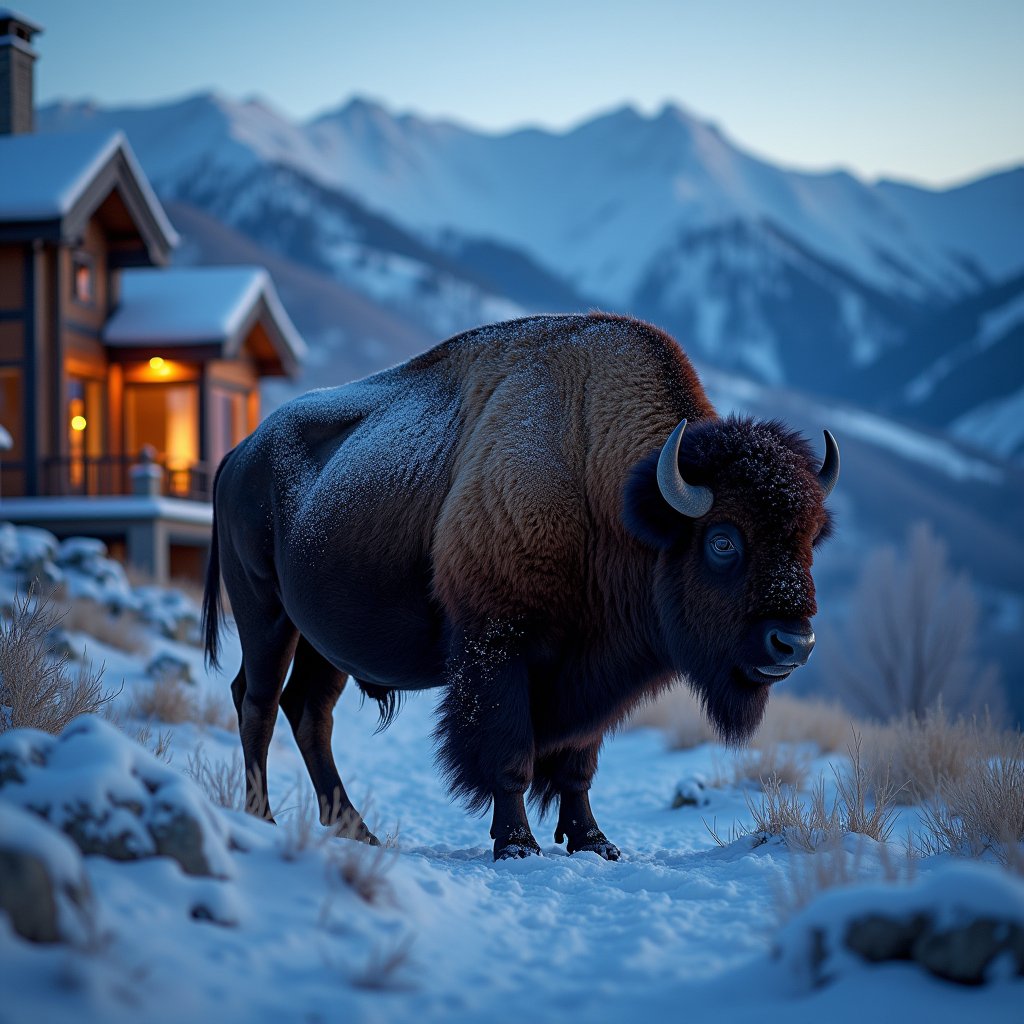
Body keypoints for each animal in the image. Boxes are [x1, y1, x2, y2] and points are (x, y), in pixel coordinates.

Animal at [203, 313, 838, 860]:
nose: (794, 644)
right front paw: (517, 845)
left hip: (325, 642)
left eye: (811, 537)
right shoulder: (498, 645)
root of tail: (239, 454)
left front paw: (595, 843)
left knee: (309, 712)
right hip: (266, 614)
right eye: (723, 541)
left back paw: (359, 832)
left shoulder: (594, 668)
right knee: (257, 702)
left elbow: (577, 764)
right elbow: (510, 753)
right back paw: (262, 818)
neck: (599, 475)